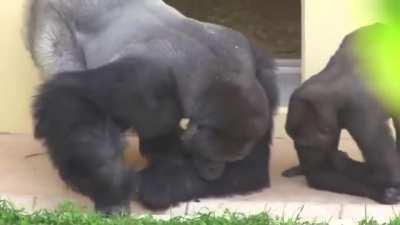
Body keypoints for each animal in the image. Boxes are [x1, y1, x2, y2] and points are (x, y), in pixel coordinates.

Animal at [26, 0, 278, 214]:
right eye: (208, 156)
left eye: (227, 160)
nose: (214, 173)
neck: (216, 74)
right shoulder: (144, 79)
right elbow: (72, 97)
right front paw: (113, 190)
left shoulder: (262, 77)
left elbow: (249, 170)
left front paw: (158, 185)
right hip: (52, 23)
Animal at [282, 23, 400, 205]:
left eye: (307, 144)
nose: (301, 149)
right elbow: (321, 174)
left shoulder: (361, 115)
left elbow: (389, 173)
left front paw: (341, 162)